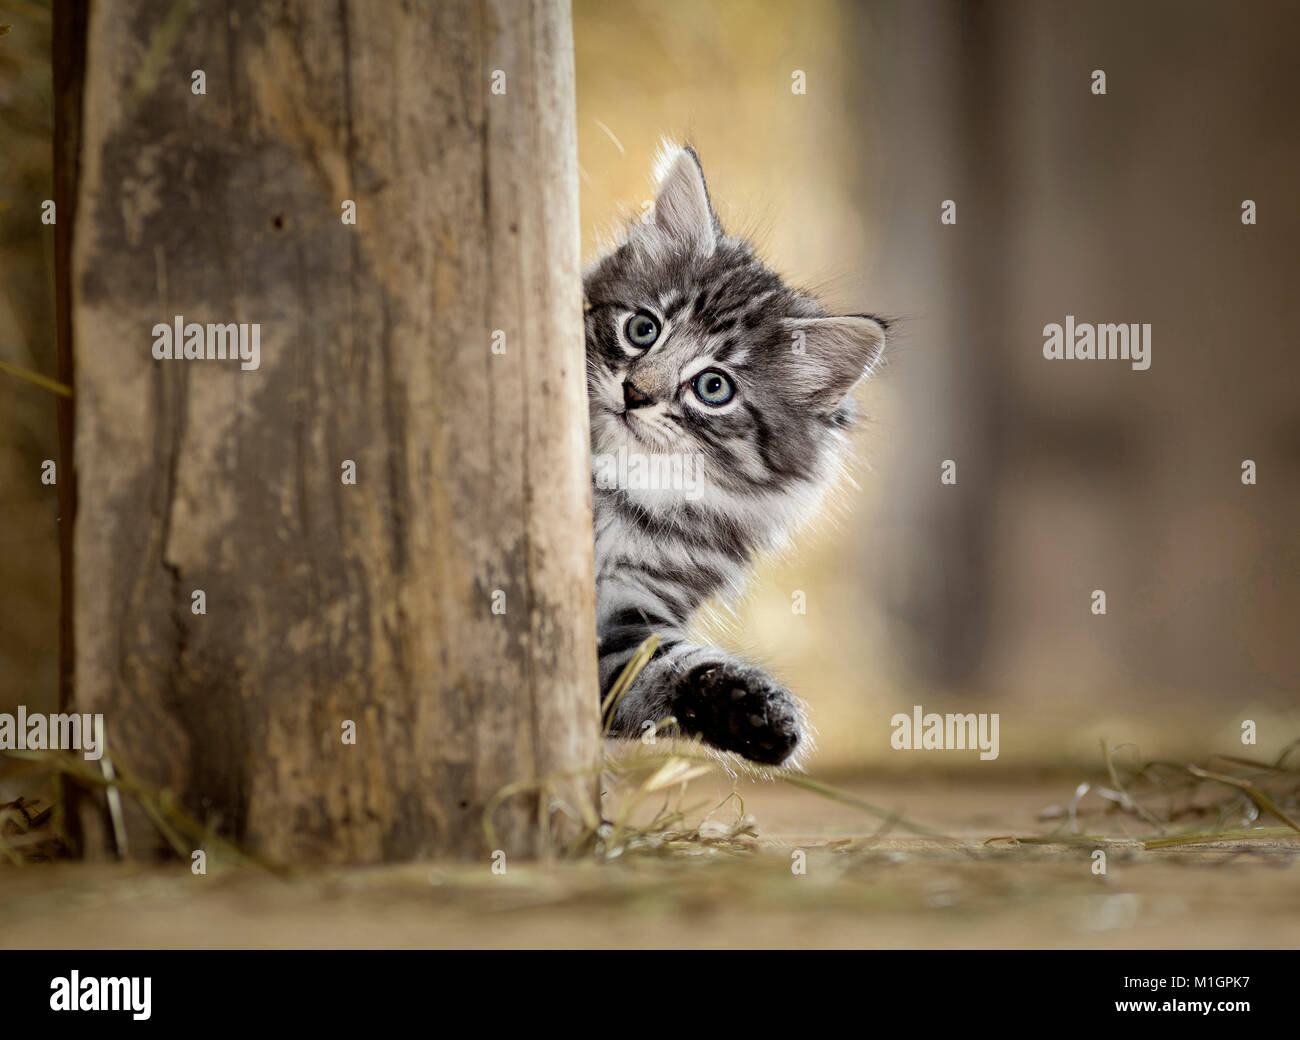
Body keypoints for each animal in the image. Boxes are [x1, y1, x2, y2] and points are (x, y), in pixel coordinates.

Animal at [587, 144, 883, 764]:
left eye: (713, 387)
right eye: (642, 328)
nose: (635, 393)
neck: (623, 491)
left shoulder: (628, 612)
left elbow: (664, 669)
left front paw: (754, 711)